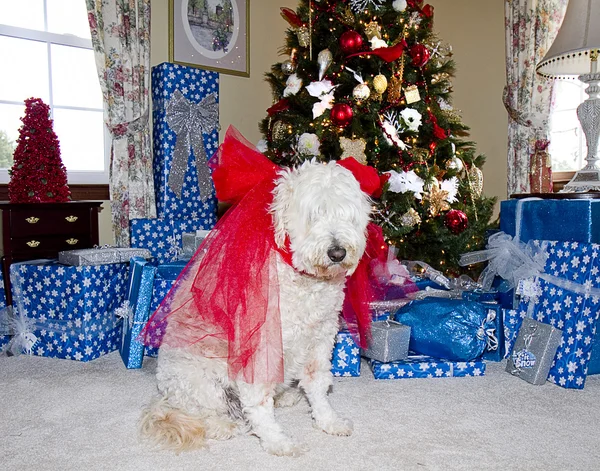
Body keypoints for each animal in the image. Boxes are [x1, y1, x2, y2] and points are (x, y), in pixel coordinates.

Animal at [141, 159, 372, 458]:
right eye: (313, 215)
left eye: (347, 215)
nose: (337, 252)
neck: (301, 279)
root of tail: (165, 394)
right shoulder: (261, 345)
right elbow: (259, 402)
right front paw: (277, 441)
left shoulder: (320, 337)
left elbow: (318, 384)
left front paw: (328, 421)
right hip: (200, 378)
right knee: (201, 412)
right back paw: (221, 425)